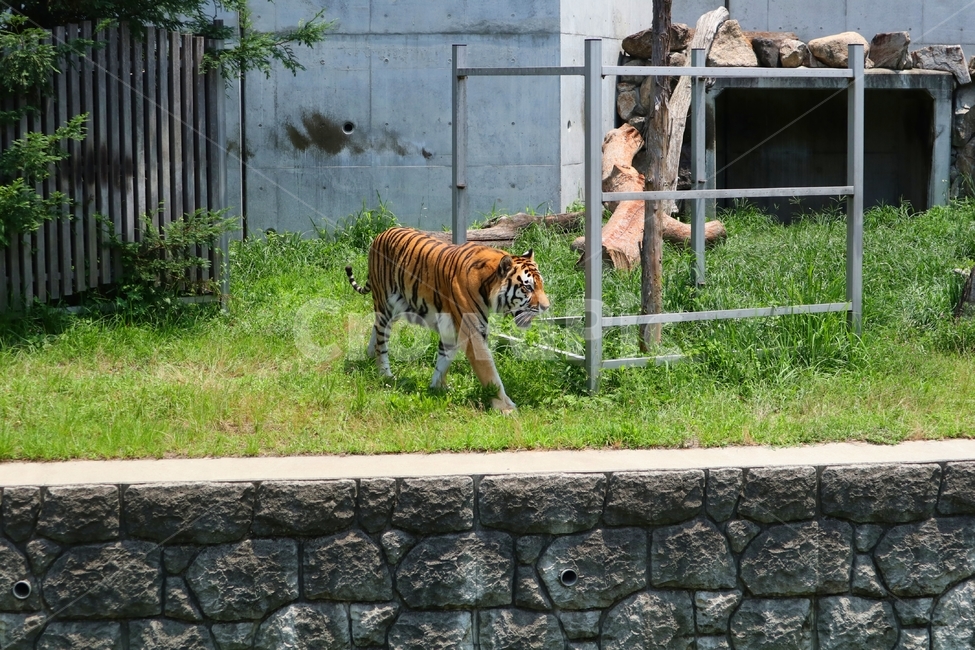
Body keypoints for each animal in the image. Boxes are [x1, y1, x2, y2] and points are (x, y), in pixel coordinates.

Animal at [345, 227, 550, 413]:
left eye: (541, 285)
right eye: (528, 288)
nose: (547, 307)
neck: (487, 285)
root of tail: (381, 234)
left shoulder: (451, 330)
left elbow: (444, 360)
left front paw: (438, 388)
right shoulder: (473, 332)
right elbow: (489, 373)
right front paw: (505, 407)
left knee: (376, 328)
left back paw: (370, 354)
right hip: (385, 303)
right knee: (382, 339)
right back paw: (385, 374)